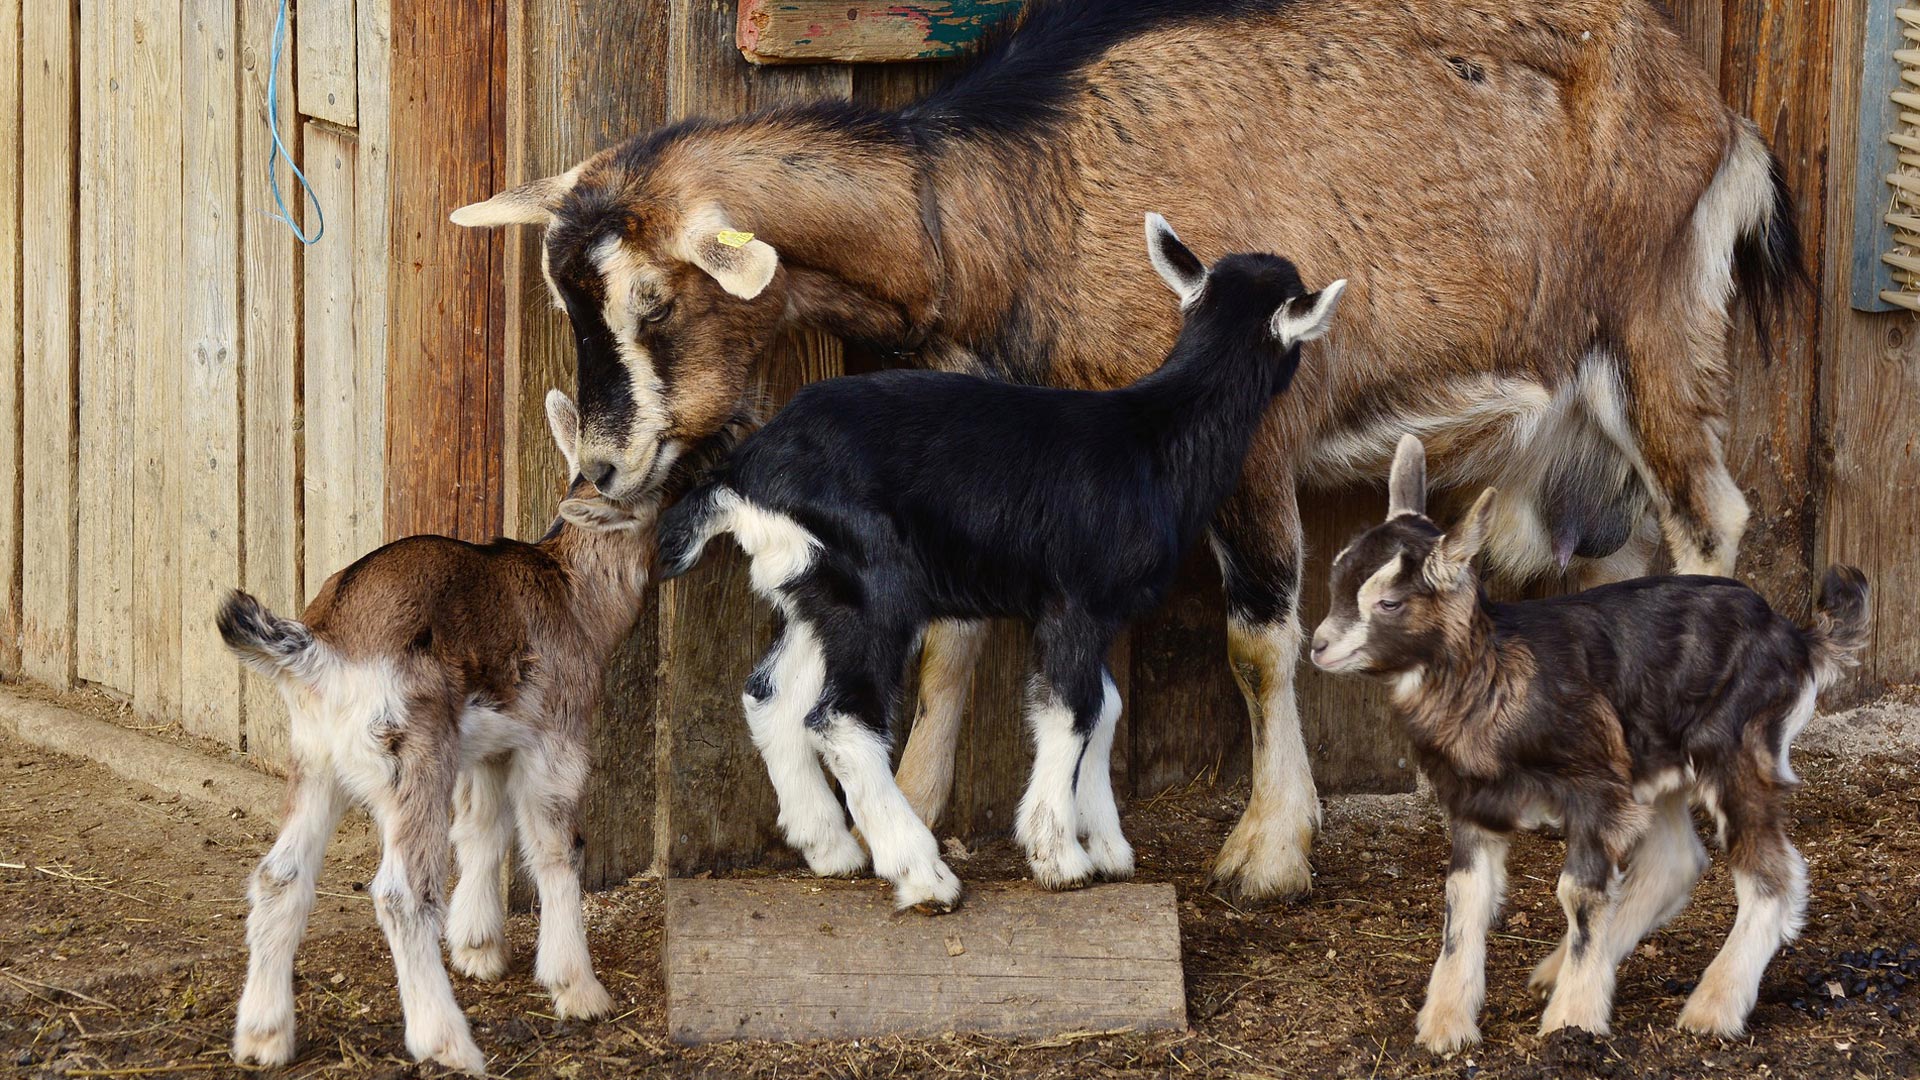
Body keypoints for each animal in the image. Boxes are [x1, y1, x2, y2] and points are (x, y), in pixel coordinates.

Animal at [218, 392, 646, 1074]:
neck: (573, 592)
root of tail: (321, 649)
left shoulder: (489, 746)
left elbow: (481, 830)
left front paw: (478, 949)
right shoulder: (558, 737)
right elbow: (557, 848)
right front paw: (578, 988)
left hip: (315, 761)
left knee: (278, 876)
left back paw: (263, 1036)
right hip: (412, 756)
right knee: (402, 893)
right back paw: (446, 1041)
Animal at [653, 215, 1343, 909]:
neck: (1154, 436)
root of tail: (746, 475)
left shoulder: (1090, 613)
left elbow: (1106, 707)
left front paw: (1107, 846)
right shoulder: (1077, 602)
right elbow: (1074, 710)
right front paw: (1058, 856)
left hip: (815, 592)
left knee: (770, 697)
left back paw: (830, 848)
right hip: (874, 591)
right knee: (842, 718)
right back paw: (920, 873)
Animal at [1309, 435, 1870, 1052]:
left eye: (1388, 601)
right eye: (1335, 582)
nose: (1318, 647)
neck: (1495, 675)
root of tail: (1798, 639)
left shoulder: (1595, 792)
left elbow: (1577, 895)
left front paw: (1572, 1021)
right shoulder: (1475, 802)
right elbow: (1464, 899)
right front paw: (1446, 1025)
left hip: (1736, 748)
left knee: (1772, 876)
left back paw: (1713, 1007)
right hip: (1654, 763)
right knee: (1676, 859)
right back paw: (1563, 972)